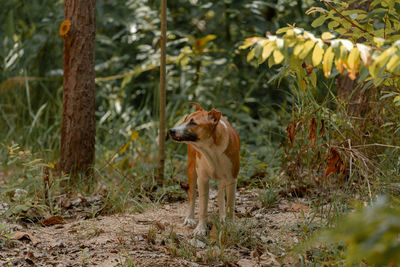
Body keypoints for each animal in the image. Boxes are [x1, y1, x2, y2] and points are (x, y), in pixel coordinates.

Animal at [167, 102, 239, 237]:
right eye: (185, 119)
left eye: (193, 123)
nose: (171, 130)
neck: (212, 150)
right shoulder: (202, 179)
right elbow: (202, 207)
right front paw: (201, 229)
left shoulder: (232, 179)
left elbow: (230, 205)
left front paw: (229, 225)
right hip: (191, 169)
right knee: (191, 195)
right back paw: (190, 218)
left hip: (223, 178)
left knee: (221, 194)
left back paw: (222, 216)